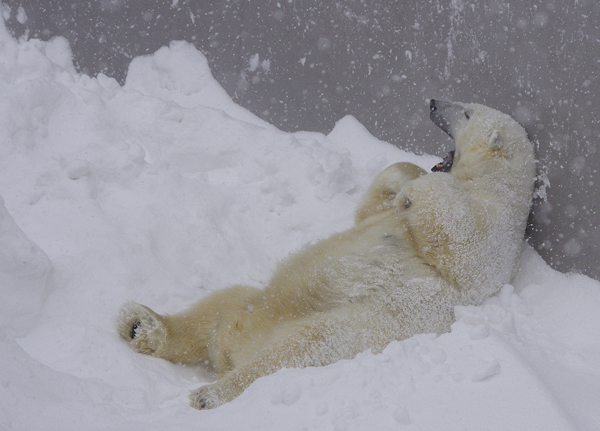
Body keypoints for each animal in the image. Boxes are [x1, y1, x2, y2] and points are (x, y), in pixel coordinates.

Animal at [116, 99, 536, 410]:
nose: (433, 102)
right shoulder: (390, 215)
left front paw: (416, 191)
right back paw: (143, 327)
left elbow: (462, 245)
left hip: (334, 334)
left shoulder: (497, 238)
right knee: (220, 305)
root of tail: (231, 346)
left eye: (466, 112)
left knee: (292, 349)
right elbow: (370, 210)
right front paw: (407, 179)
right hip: (253, 303)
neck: (490, 185)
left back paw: (210, 392)